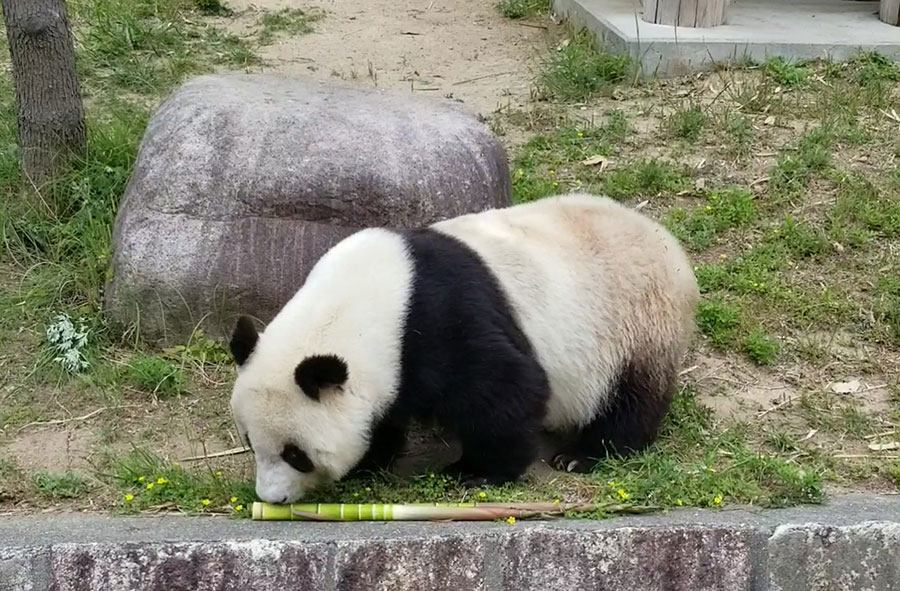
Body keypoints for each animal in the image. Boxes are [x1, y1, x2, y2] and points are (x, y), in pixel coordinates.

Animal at [229, 194, 700, 504]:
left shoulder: (441, 320)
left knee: (630, 398)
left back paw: (584, 455)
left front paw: (475, 473)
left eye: (296, 454)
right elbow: (383, 413)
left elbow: (506, 388)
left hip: (635, 324)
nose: (270, 498)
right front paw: (370, 460)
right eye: (250, 442)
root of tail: (669, 244)